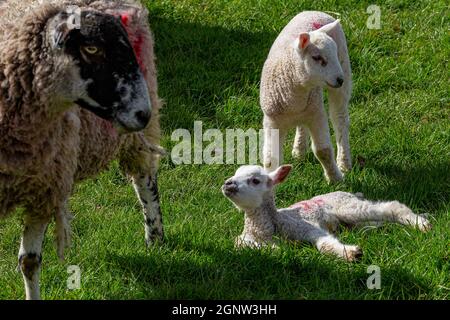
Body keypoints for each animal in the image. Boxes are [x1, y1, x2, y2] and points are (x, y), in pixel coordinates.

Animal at [0, 0, 165, 300]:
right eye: (92, 49)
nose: (143, 114)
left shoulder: (45, 191)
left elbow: (29, 261)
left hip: (137, 134)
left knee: (145, 180)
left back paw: (155, 237)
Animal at [223, 166, 430, 262]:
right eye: (236, 173)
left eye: (255, 180)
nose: (228, 184)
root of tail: (351, 193)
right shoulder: (244, 240)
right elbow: (247, 246)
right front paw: (275, 249)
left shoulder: (303, 226)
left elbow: (325, 244)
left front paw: (352, 254)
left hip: (347, 206)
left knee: (392, 207)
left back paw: (421, 224)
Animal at [262, 11, 354, 182]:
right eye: (317, 58)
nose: (340, 79)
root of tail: (315, 12)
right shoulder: (272, 120)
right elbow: (271, 158)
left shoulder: (317, 114)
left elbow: (323, 151)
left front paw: (335, 178)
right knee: (302, 124)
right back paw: (299, 149)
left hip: (343, 70)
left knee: (340, 118)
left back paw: (344, 162)